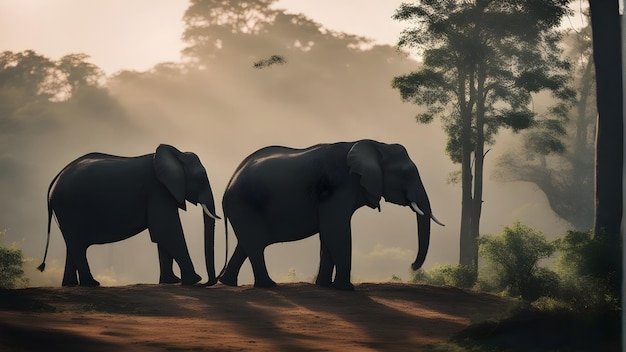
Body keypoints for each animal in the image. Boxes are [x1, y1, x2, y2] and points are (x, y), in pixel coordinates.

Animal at [36, 144, 221, 288]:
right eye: (201, 179)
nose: (208, 282)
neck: (177, 154)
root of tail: (54, 180)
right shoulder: (156, 190)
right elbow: (165, 230)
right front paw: (194, 280)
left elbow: (163, 234)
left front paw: (172, 281)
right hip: (69, 208)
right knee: (77, 245)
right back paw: (92, 284)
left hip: (66, 211)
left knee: (73, 244)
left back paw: (70, 284)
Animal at [217, 139, 442, 290]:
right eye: (405, 174)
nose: (412, 266)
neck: (374, 144)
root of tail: (228, 183)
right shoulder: (341, 187)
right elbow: (336, 230)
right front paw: (346, 289)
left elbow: (329, 234)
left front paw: (324, 285)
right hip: (244, 204)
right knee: (254, 244)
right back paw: (268, 286)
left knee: (247, 244)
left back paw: (228, 283)